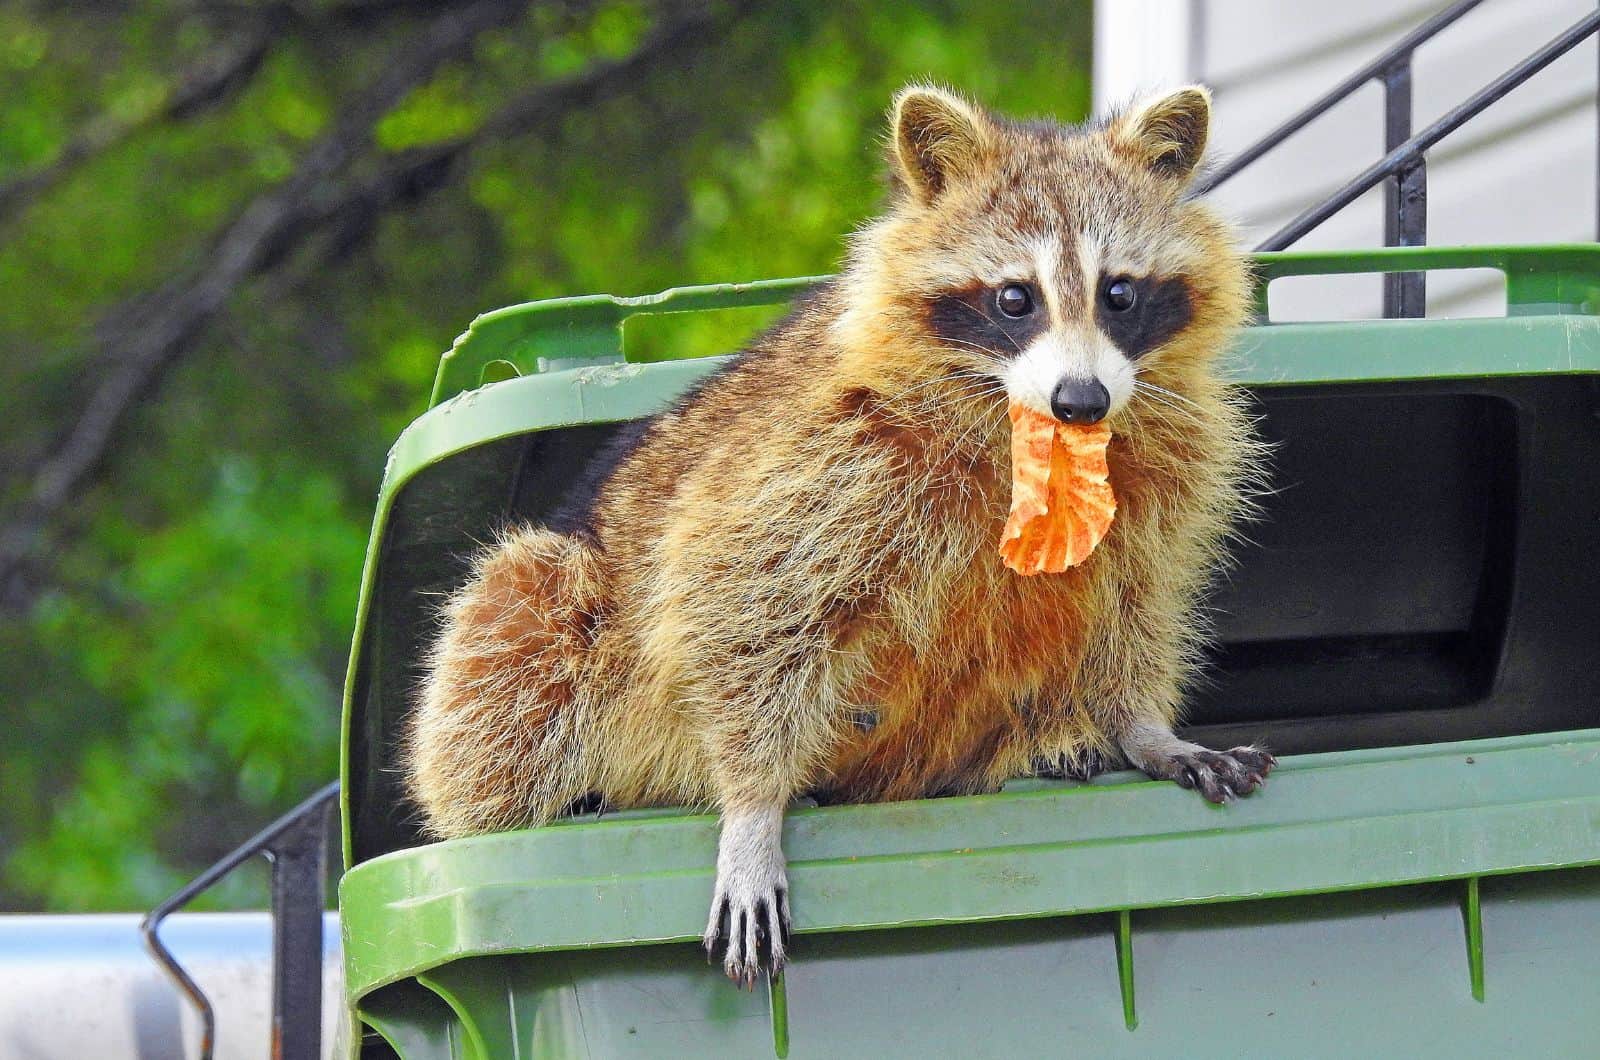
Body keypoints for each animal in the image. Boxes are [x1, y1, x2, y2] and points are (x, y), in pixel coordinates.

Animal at [409, 83, 1273, 986]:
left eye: (1120, 293)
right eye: (1015, 298)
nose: (1082, 400)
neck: (1031, 430)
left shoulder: (1163, 471)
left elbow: (1133, 601)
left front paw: (1142, 726)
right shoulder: (824, 453)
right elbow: (731, 595)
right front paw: (752, 808)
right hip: (558, 606)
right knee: (516, 625)